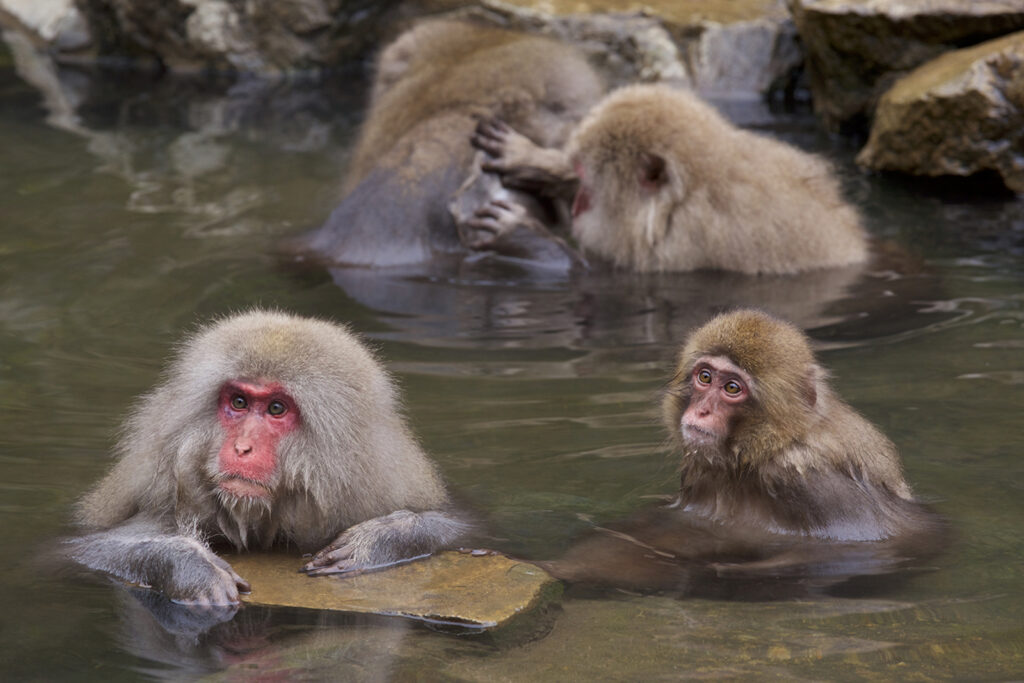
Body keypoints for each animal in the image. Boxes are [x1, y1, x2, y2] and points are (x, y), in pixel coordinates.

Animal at [68, 310, 469, 606]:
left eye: (277, 408)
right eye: (239, 402)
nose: (242, 448)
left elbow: (460, 528)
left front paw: (378, 541)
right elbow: (88, 548)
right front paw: (190, 566)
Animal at [471, 83, 870, 275]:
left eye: (587, 180)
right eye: (578, 172)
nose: (579, 203)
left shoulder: (685, 243)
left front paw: (521, 233)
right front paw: (533, 159)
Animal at [545, 309, 945, 596]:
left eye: (732, 388)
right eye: (705, 377)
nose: (702, 412)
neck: (761, 452)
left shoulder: (807, 479)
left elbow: (865, 544)